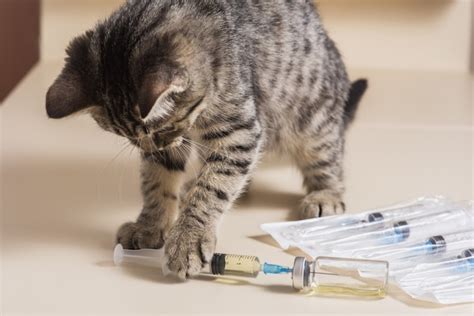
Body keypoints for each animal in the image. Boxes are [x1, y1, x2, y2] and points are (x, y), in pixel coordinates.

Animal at [45, 0, 366, 278]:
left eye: (161, 130)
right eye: (135, 139)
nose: (158, 147)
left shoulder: (238, 132)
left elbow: (214, 186)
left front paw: (189, 238)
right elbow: (156, 183)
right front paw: (149, 225)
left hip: (312, 120)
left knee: (327, 158)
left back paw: (326, 194)